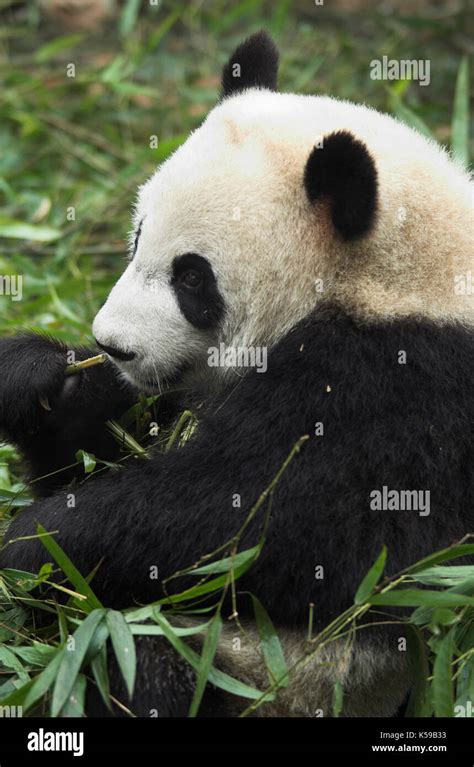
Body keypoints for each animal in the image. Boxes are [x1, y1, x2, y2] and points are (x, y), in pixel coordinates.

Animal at [0, 31, 472, 720]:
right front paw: (41, 381)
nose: (112, 346)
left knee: (135, 662)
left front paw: (33, 545)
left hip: (282, 682)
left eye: (193, 277)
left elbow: (276, 524)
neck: (393, 273)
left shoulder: (409, 387)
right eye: (137, 236)